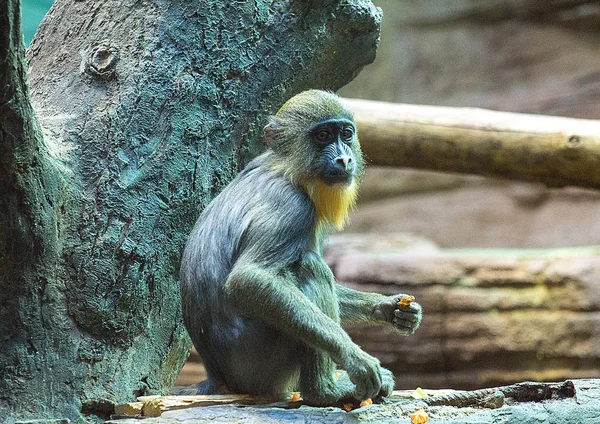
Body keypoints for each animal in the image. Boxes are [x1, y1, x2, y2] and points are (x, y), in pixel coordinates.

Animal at [179, 89, 422, 404]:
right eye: (323, 135)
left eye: (346, 134)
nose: (344, 160)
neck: (288, 169)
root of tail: (218, 378)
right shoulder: (293, 207)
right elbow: (249, 278)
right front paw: (354, 357)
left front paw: (391, 309)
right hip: (262, 363)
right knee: (310, 266)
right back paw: (326, 390)